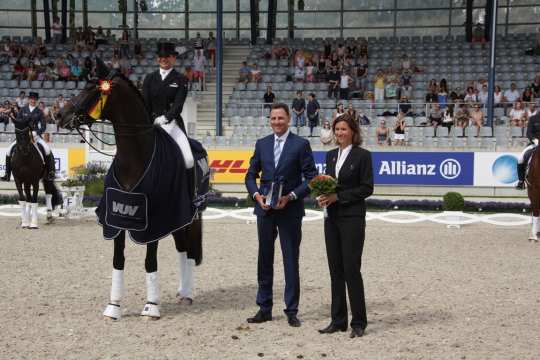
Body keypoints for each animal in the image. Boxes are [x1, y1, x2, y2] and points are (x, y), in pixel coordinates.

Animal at [57, 59, 205, 320]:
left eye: (91, 89)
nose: (59, 114)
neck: (135, 157)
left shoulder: (154, 220)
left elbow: (150, 261)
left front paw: (151, 307)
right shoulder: (117, 218)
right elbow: (118, 260)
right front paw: (113, 307)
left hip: (185, 215)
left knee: (186, 249)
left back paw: (187, 294)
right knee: (182, 249)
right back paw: (182, 292)